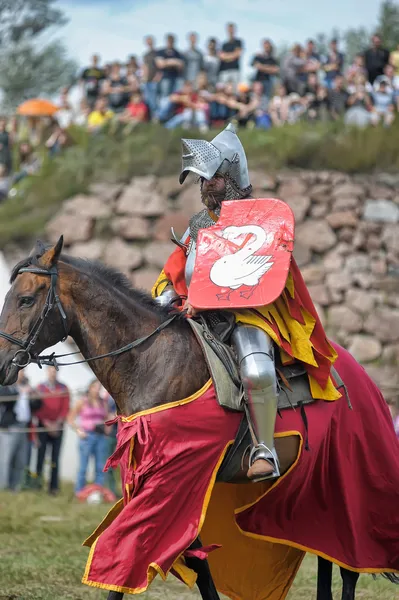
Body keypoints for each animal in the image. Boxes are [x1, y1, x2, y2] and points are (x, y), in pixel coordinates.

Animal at [0, 237, 396, 596]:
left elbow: (129, 549)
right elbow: (194, 560)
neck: (149, 358)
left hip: (346, 480)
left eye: (26, 299)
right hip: (310, 487)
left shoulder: (176, 474)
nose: (2, 365)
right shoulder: (168, 480)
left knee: (349, 565)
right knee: (326, 551)